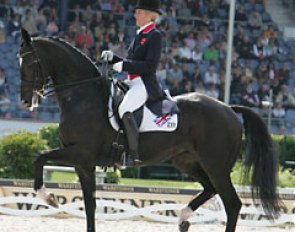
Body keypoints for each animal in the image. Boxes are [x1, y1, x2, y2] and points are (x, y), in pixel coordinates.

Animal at [17, 29, 280, 232]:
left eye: (29, 63)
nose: (25, 101)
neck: (83, 96)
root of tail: (228, 108)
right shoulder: (83, 163)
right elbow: (90, 204)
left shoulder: (81, 153)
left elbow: (40, 157)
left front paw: (48, 197)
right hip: (187, 160)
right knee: (210, 189)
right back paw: (183, 217)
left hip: (216, 165)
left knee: (232, 203)